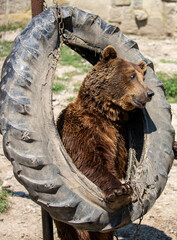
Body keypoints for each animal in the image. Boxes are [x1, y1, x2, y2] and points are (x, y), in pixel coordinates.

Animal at [54, 45, 154, 240]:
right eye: (132, 75)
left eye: (142, 77)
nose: (149, 93)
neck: (108, 112)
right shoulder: (86, 128)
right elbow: (91, 158)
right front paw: (121, 188)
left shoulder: (121, 135)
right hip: (67, 221)